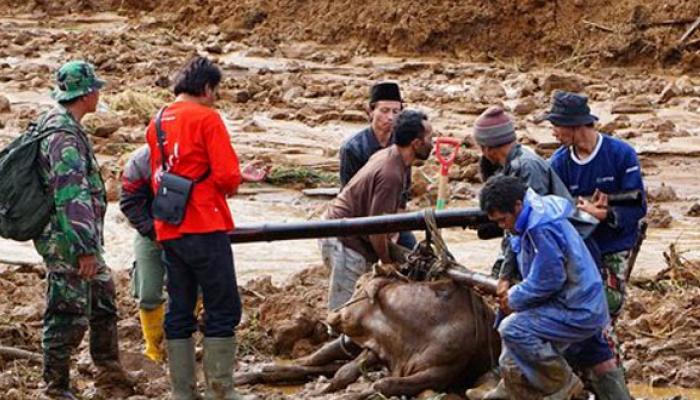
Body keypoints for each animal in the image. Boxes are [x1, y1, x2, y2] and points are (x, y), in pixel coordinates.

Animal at [238, 274, 500, 398]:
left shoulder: (441, 372)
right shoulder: (377, 349)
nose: (333, 314)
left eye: (357, 286)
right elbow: (347, 373)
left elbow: (382, 384)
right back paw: (260, 371)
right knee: (311, 362)